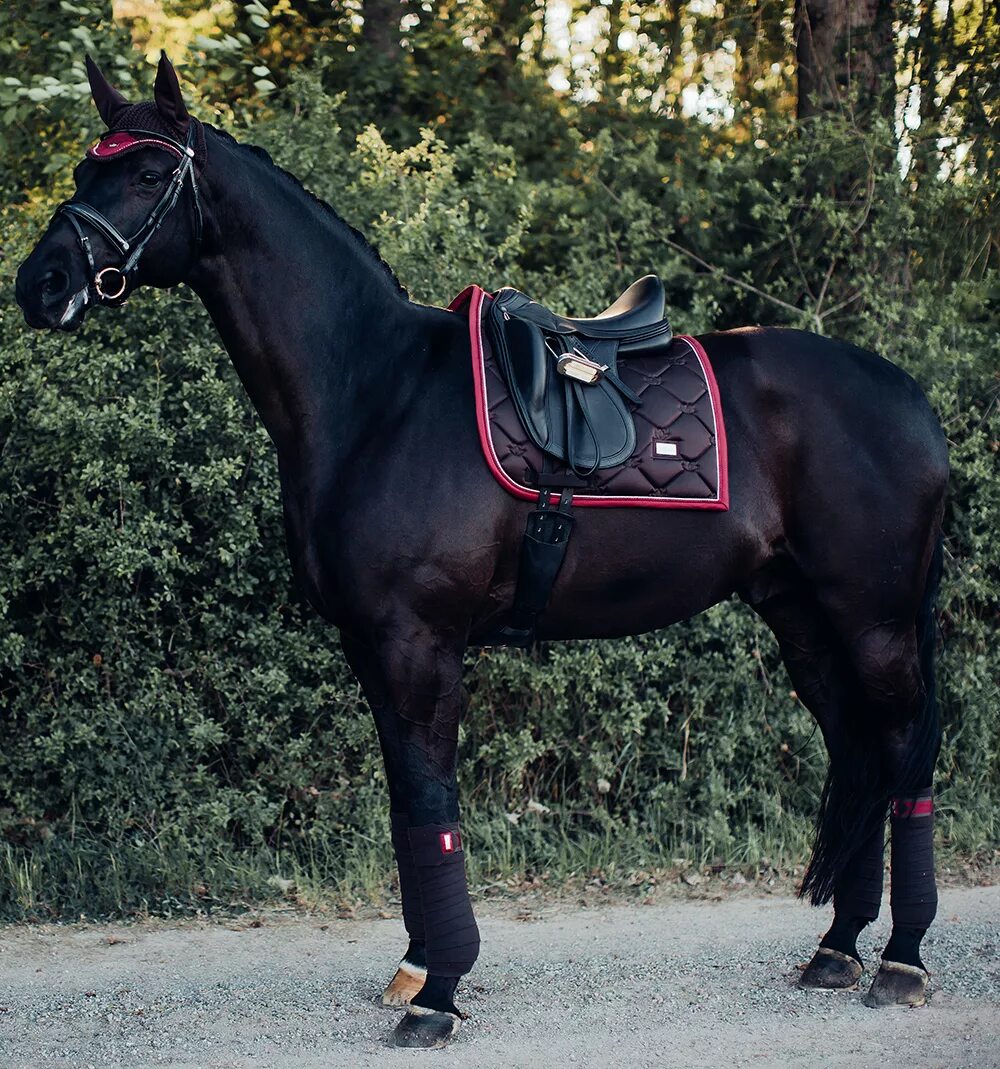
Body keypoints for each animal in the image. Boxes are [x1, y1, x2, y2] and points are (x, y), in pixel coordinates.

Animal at [17, 56, 954, 1043]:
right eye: (84, 170)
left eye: (148, 174)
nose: (41, 283)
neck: (376, 391)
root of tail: (911, 400)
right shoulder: (371, 646)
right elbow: (407, 807)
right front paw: (418, 963)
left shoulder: (419, 645)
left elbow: (432, 806)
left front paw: (438, 990)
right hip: (805, 620)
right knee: (859, 750)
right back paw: (838, 947)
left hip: (876, 621)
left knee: (905, 753)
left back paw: (901, 957)